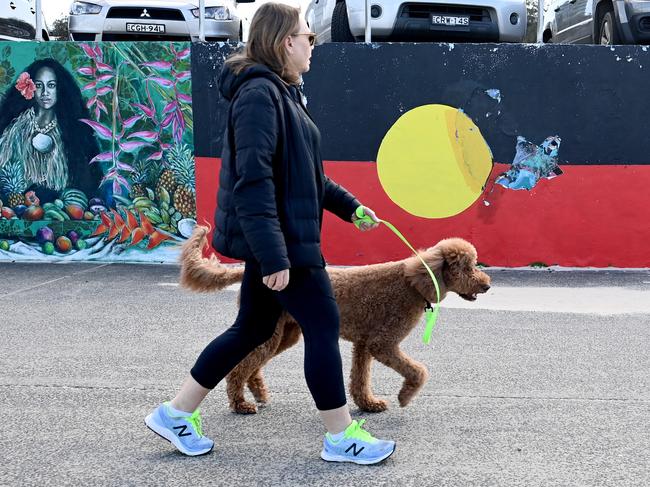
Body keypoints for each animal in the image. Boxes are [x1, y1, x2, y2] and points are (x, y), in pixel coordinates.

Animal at [180, 227, 488, 414]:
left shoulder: (363, 344)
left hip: (284, 334)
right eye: (468, 268)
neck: (412, 282)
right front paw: (405, 395)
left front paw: (368, 404)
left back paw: (258, 392)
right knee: (240, 367)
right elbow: (418, 371)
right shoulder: (382, 343)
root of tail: (251, 273)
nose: (486, 285)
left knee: (253, 363)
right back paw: (240, 403)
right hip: (268, 331)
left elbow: (360, 378)